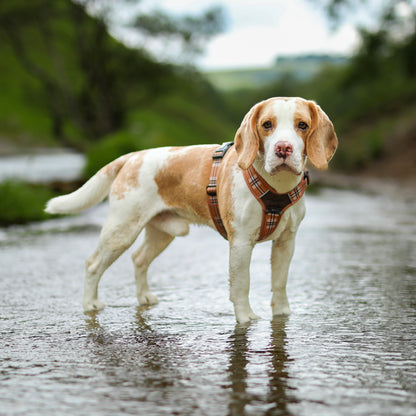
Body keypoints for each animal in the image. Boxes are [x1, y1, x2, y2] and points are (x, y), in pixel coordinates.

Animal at [46, 96, 338, 324]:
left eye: (302, 125)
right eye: (267, 125)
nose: (283, 148)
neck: (276, 187)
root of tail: (132, 156)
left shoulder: (286, 242)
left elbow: (280, 282)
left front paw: (283, 314)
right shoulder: (241, 243)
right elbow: (242, 284)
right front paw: (246, 319)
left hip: (162, 233)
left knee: (139, 259)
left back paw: (144, 297)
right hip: (121, 230)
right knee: (93, 264)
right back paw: (90, 304)